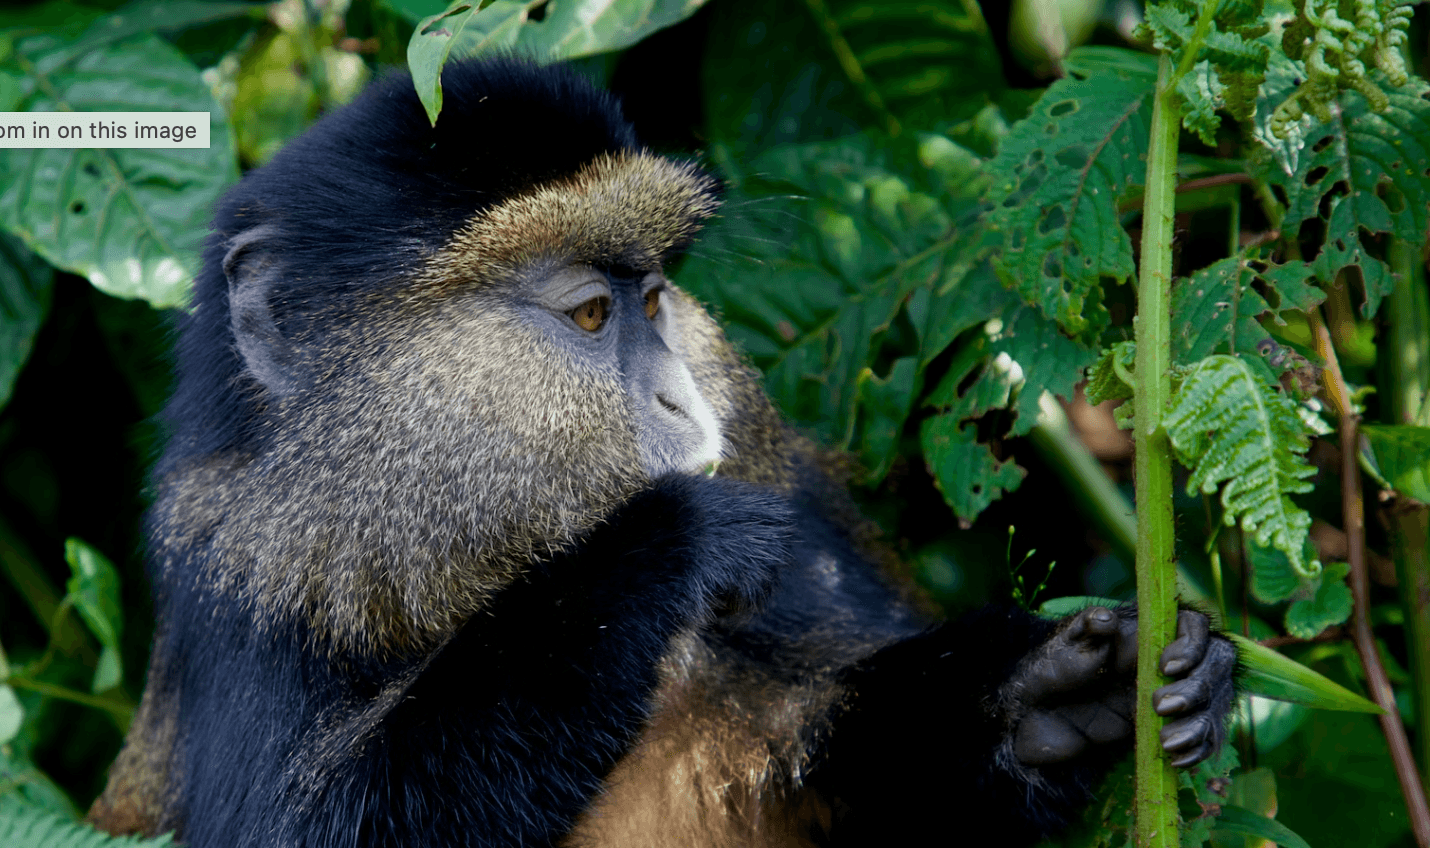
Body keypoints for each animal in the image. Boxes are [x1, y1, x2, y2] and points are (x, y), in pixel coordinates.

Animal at [87, 57, 1238, 848]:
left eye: (651, 297)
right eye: (591, 314)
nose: (682, 396)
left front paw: (1048, 695)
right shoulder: (248, 588)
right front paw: (665, 545)